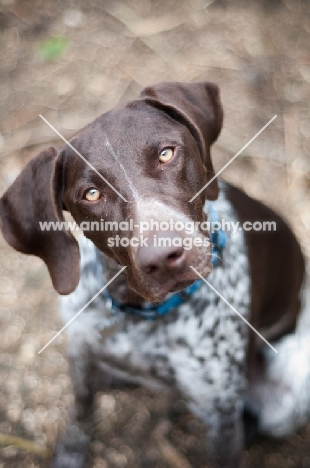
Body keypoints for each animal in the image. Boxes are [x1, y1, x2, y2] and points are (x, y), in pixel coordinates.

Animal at [0, 81, 310, 468]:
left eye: (166, 154)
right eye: (91, 194)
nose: (163, 258)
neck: (141, 313)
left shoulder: (221, 415)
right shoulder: (81, 355)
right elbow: (81, 413)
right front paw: (70, 454)